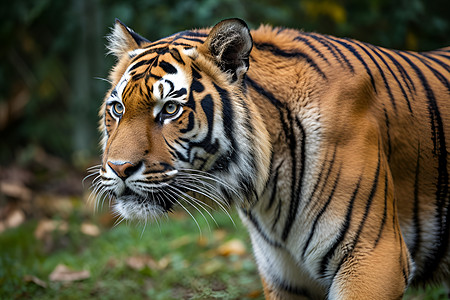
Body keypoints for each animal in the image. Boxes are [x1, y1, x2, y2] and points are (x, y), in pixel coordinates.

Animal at [96, 17, 450, 298]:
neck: (267, 189)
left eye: (170, 109)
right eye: (118, 108)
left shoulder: (374, 258)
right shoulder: (285, 275)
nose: (119, 168)